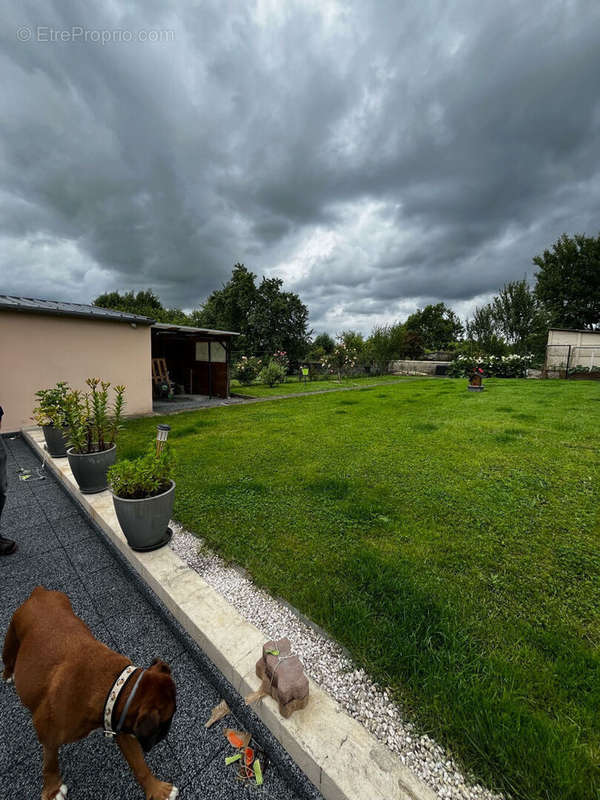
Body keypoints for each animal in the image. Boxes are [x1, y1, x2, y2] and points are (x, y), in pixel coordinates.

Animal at [1, 584, 178, 796]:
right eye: (165, 721)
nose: (165, 734)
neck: (114, 685)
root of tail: (40, 592)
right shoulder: (46, 732)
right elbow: (50, 763)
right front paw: (52, 789)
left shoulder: (118, 719)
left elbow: (139, 765)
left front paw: (157, 790)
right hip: (12, 634)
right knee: (8, 657)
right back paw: (8, 674)